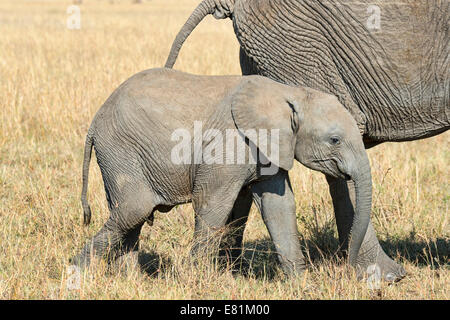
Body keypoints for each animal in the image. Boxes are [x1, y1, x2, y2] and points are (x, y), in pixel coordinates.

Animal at [72, 69, 370, 276]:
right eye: (335, 140)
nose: (349, 267)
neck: (289, 93)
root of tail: (95, 121)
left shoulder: (267, 147)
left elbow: (279, 207)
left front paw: (300, 283)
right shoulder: (229, 144)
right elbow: (212, 203)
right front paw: (196, 279)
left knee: (130, 215)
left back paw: (132, 280)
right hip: (120, 149)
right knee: (135, 209)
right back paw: (75, 273)